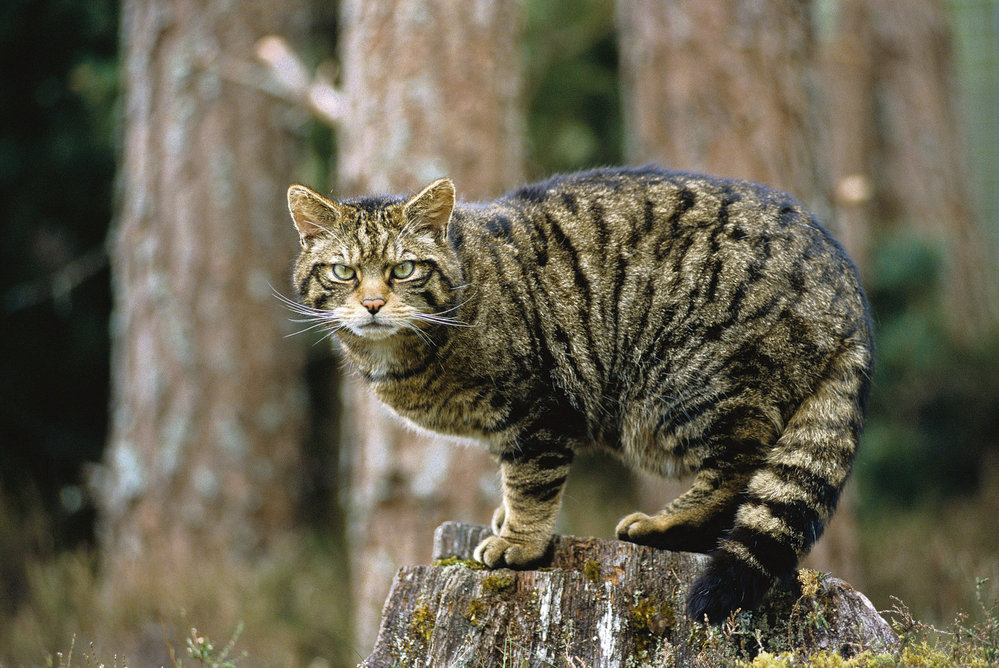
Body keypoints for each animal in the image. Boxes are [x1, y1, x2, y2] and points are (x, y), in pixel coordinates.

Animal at [286, 166, 872, 620]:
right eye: (343, 272)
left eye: (403, 269)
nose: (372, 304)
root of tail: (849, 293)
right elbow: (510, 481)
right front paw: (505, 519)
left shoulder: (536, 412)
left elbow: (530, 483)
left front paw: (518, 542)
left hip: (691, 380)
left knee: (741, 469)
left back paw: (663, 523)